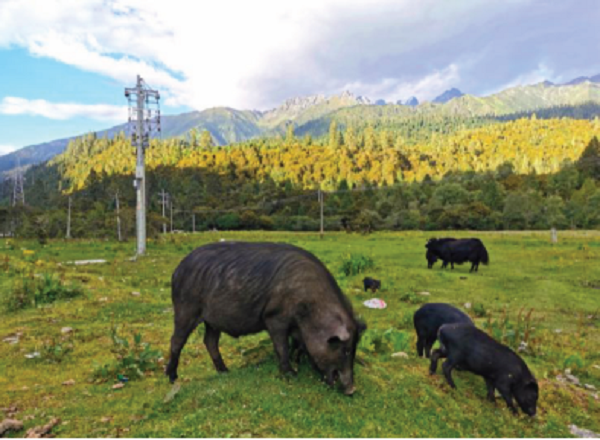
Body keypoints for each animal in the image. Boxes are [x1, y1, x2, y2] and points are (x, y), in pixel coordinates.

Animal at [164, 241, 366, 396]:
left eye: (354, 349)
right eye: (345, 350)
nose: (352, 390)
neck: (310, 309)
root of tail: (176, 271)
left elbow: (298, 346)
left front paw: (299, 363)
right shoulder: (274, 317)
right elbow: (282, 347)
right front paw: (291, 374)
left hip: (212, 320)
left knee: (209, 341)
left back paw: (225, 371)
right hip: (185, 309)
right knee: (176, 340)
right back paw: (172, 377)